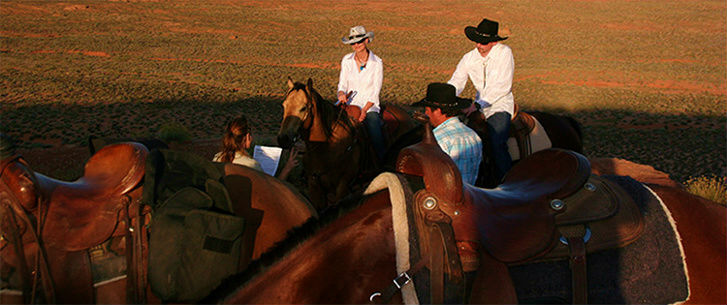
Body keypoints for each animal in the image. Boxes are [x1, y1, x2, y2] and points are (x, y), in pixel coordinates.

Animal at [276, 77, 418, 210]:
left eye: (303, 108)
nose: (283, 139)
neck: (326, 147)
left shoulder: (342, 186)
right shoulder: (314, 186)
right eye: (284, 105)